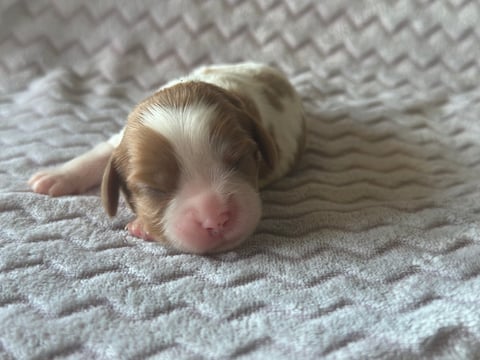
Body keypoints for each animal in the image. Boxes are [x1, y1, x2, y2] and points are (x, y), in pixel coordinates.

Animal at [30, 62, 306, 253]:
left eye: (239, 160)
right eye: (154, 188)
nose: (215, 220)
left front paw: (142, 226)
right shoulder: (122, 138)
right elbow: (100, 153)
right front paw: (56, 175)